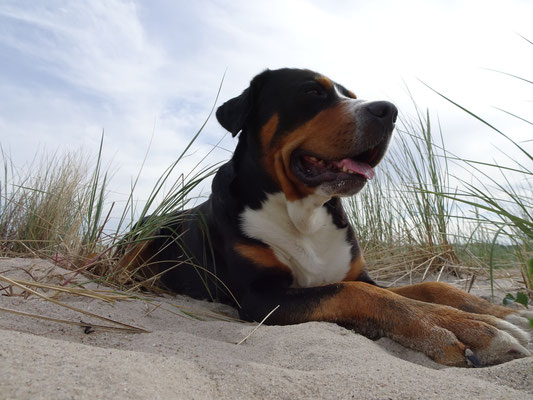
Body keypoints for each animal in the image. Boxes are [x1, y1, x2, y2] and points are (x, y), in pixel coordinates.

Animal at [118, 67, 528, 368]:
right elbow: (367, 295)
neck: (305, 213)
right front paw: (458, 329)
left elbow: (430, 289)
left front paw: (494, 316)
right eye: (313, 92)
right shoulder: (262, 296)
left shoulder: (358, 273)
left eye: (351, 96)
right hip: (143, 237)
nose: (389, 110)